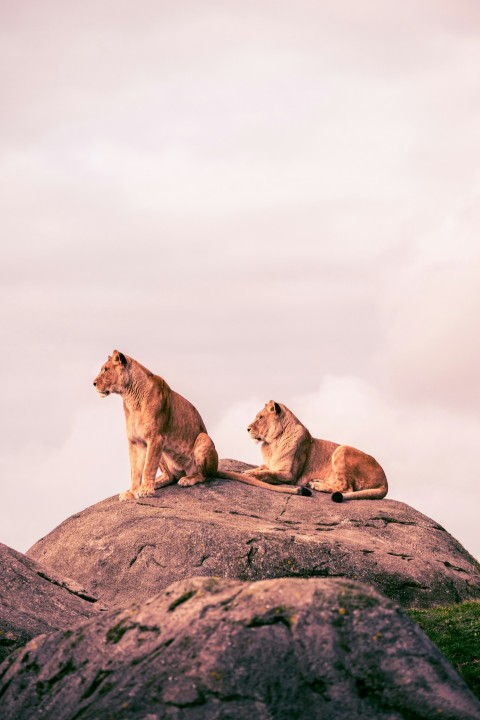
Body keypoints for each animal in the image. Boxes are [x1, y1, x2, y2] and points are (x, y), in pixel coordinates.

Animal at [93, 351, 311, 500]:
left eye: (105, 369)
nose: (93, 383)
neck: (130, 398)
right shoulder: (135, 442)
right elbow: (135, 470)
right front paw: (132, 491)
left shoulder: (155, 438)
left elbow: (147, 468)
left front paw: (145, 490)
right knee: (171, 476)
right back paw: (162, 481)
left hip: (203, 439)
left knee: (205, 475)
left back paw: (189, 479)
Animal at [235, 400, 388, 502]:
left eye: (260, 417)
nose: (247, 429)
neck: (272, 444)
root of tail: (385, 481)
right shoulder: (269, 464)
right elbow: (262, 468)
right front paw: (249, 471)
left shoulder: (290, 475)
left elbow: (268, 474)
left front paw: (250, 474)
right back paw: (316, 481)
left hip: (342, 448)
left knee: (346, 487)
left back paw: (316, 485)